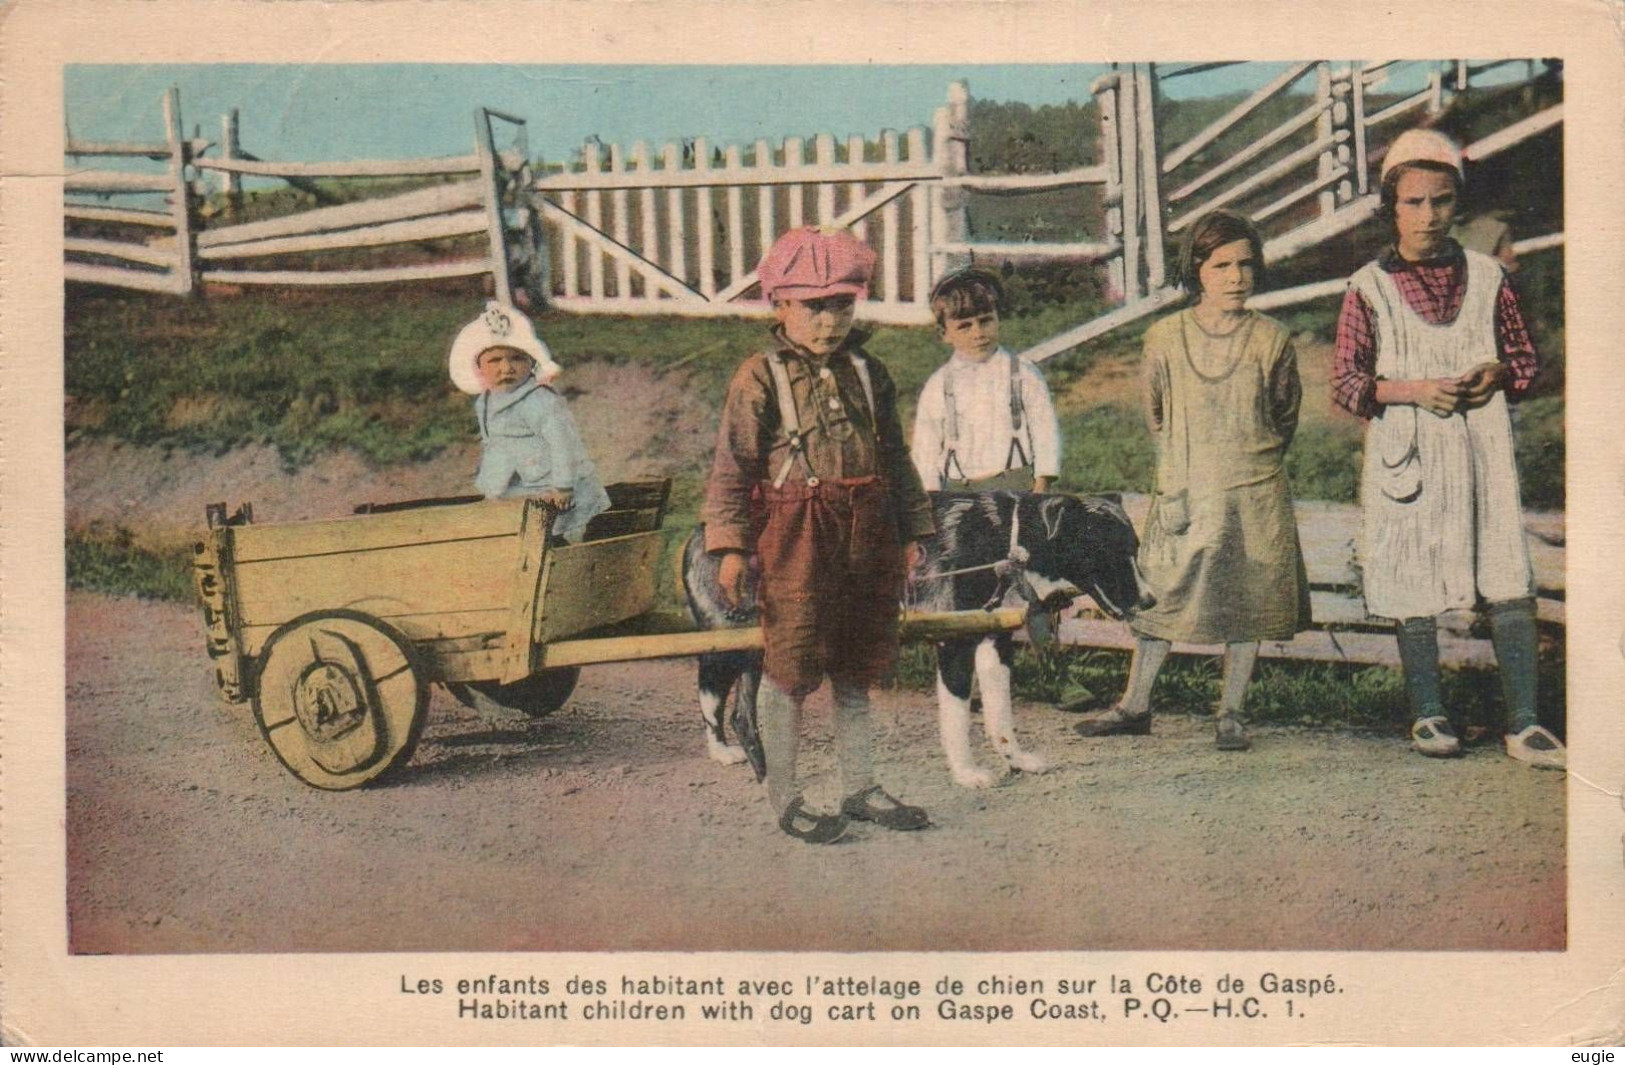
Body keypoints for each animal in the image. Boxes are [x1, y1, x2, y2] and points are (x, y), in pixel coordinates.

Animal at [679, 491, 1150, 783]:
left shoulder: (993, 646)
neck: (1006, 541)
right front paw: (967, 774)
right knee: (711, 693)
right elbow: (957, 719)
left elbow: (1001, 716)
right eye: (1108, 549)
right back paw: (731, 756)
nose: (1150, 599)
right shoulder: (954, 647)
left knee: (741, 713)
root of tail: (699, 531)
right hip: (732, 644)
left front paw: (1014, 759)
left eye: (1136, 549)